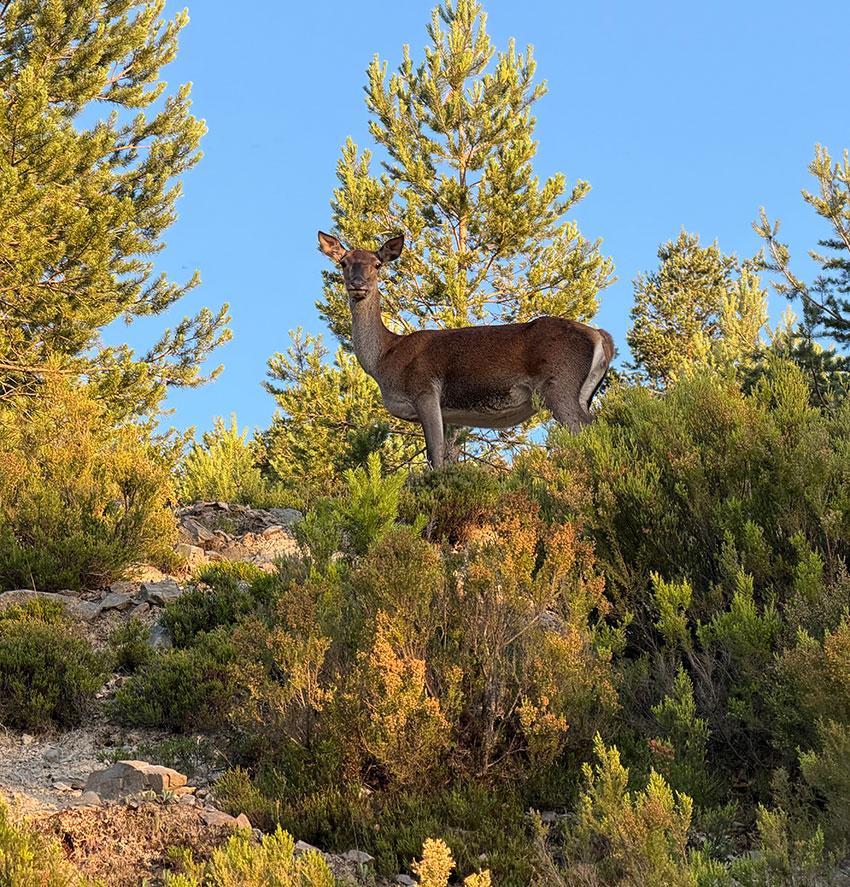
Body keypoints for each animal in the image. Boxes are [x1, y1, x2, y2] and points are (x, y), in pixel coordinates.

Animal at [318, 231, 615, 468]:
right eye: (343, 262)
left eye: (377, 264)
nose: (358, 284)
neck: (385, 358)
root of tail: (601, 336)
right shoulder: (448, 413)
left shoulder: (424, 389)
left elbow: (435, 457)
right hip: (583, 392)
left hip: (559, 384)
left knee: (591, 430)